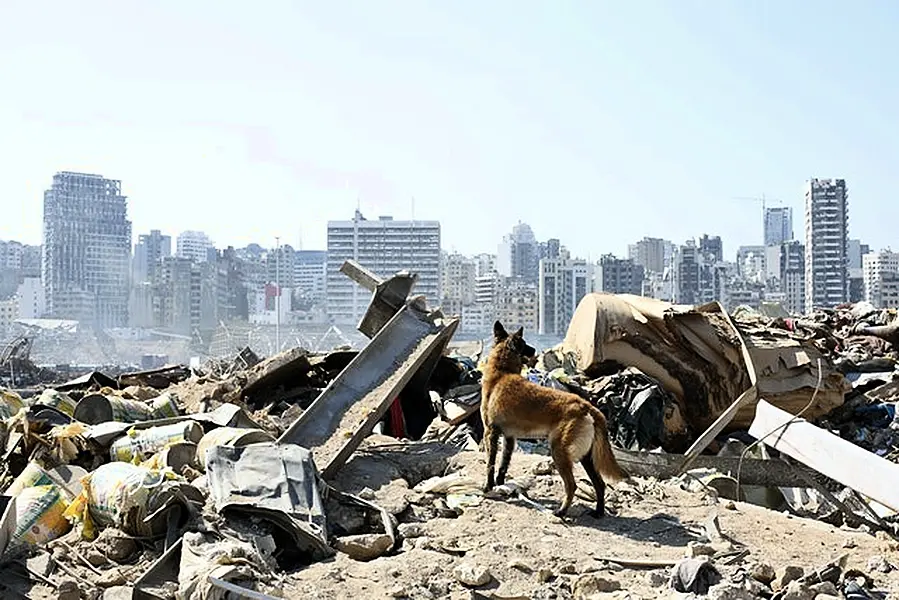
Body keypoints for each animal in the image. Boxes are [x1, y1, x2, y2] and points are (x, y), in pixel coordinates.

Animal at [482, 322, 628, 516]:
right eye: (525, 344)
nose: (534, 349)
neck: (502, 373)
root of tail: (587, 406)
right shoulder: (509, 437)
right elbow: (503, 464)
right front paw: (500, 483)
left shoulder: (490, 433)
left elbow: (490, 464)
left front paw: (488, 487)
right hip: (586, 457)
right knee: (600, 484)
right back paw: (598, 512)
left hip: (559, 452)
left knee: (572, 485)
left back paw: (561, 512)